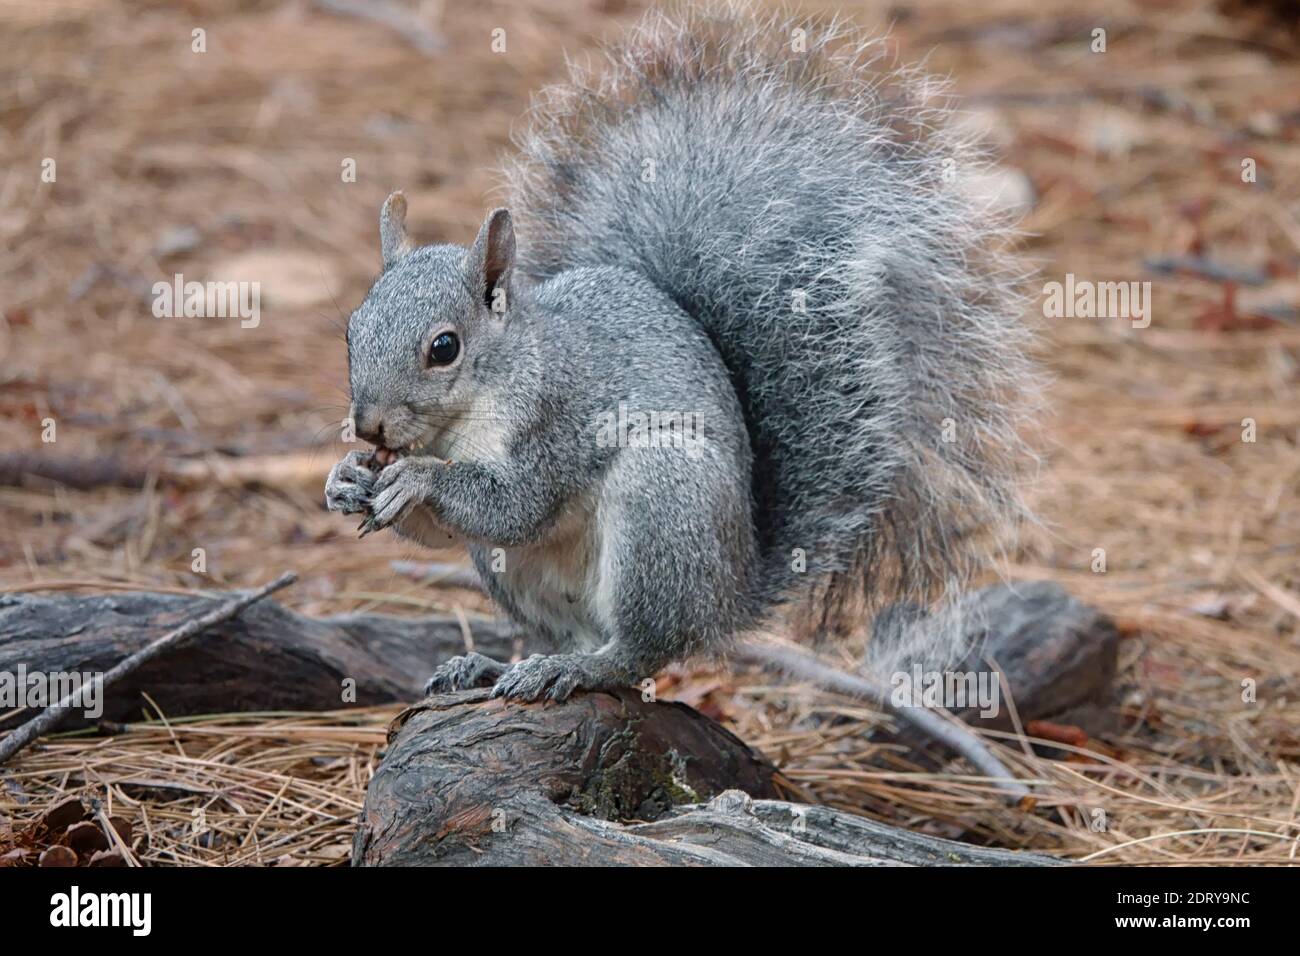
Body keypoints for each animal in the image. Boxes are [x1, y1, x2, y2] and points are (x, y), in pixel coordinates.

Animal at [325, 5, 1034, 702]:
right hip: (525, 576)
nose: (369, 426)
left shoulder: (556, 420)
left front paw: (418, 478)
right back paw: (496, 665)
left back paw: (577, 670)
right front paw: (347, 479)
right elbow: (449, 528)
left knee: (641, 650)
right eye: (350, 330)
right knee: (574, 632)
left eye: (444, 348)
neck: (475, 403)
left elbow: (515, 505)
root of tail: (733, 593)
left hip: (664, 501)